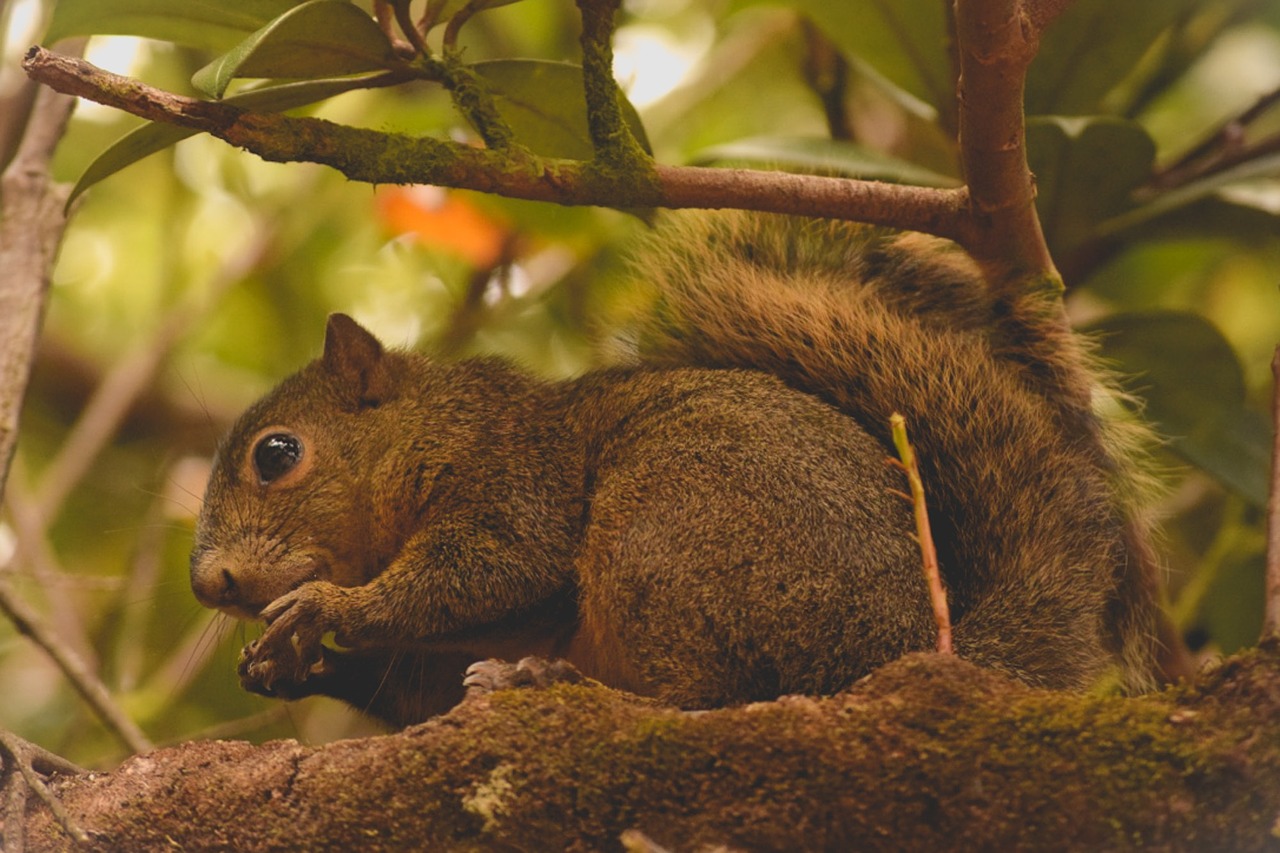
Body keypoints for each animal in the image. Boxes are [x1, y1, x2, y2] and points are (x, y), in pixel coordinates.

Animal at [189, 208, 1162, 722]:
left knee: (709, 698)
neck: (433, 430)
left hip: (670, 531)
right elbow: (420, 682)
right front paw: (288, 667)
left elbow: (490, 569)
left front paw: (326, 608)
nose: (210, 583)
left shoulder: (514, 478)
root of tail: (909, 647)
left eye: (277, 454)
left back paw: (543, 676)